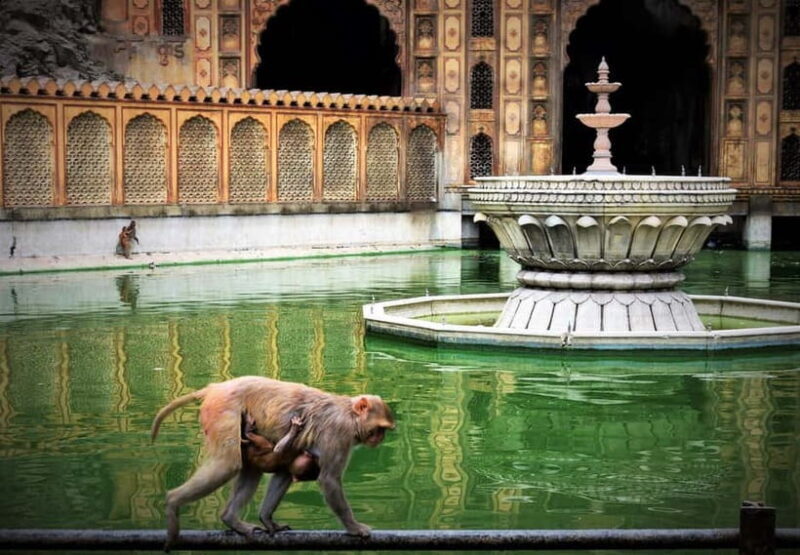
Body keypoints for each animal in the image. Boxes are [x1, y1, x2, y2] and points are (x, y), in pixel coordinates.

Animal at [151, 376, 395, 549]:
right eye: (380, 428)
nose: (380, 438)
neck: (349, 414)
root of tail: (215, 387)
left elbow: (285, 472)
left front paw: (267, 520)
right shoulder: (339, 434)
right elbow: (329, 480)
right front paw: (354, 527)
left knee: (250, 469)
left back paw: (231, 519)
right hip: (223, 413)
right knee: (228, 463)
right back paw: (173, 503)